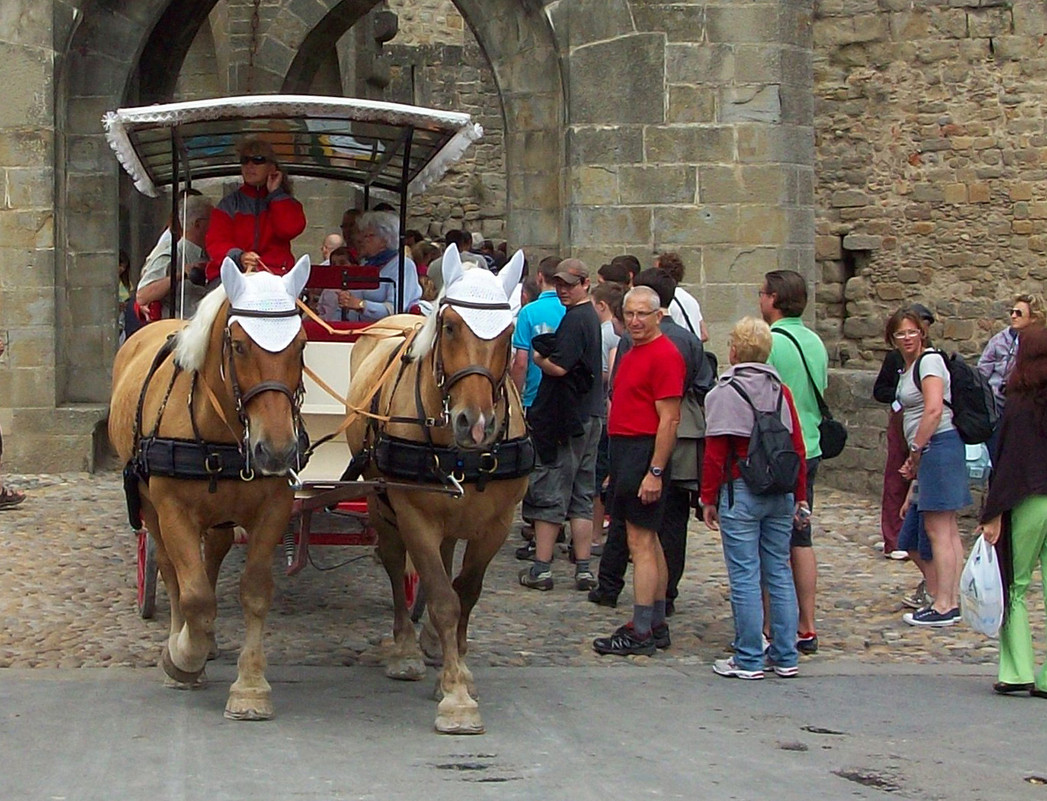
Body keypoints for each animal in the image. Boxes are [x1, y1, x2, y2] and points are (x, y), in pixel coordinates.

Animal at [113, 256, 312, 720]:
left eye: (300, 346)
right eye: (238, 346)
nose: (277, 450)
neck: (224, 437)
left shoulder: (274, 509)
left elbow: (254, 592)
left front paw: (251, 687)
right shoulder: (173, 512)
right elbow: (195, 596)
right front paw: (183, 658)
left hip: (221, 515)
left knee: (213, 556)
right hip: (151, 509)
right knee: (172, 572)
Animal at [347, 247, 531, 732]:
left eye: (508, 331)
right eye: (450, 326)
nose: (477, 423)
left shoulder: (497, 524)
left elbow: (465, 592)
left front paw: (459, 669)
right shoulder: (414, 515)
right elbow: (445, 597)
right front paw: (456, 698)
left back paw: (430, 641)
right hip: (380, 501)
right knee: (396, 565)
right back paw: (406, 649)